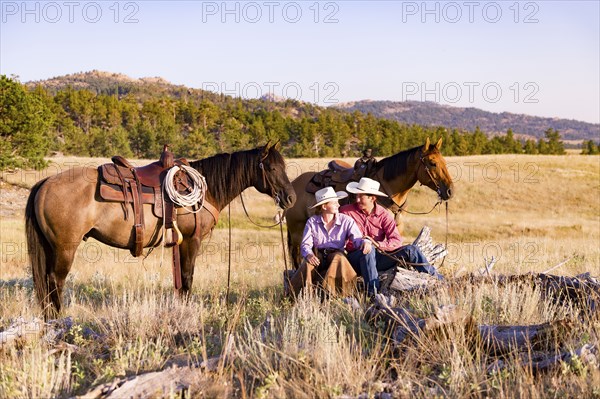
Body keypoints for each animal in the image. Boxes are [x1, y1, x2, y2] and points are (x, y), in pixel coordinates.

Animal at [27, 145, 296, 318]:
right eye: (272, 168)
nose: (290, 198)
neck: (206, 188)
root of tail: (45, 183)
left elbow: (180, 281)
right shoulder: (190, 241)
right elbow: (187, 279)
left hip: (51, 248)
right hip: (65, 248)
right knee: (55, 282)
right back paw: (59, 320)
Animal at [288, 138, 454, 268]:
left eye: (445, 162)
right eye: (432, 163)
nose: (450, 191)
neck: (386, 188)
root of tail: (294, 183)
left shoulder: (397, 229)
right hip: (297, 231)